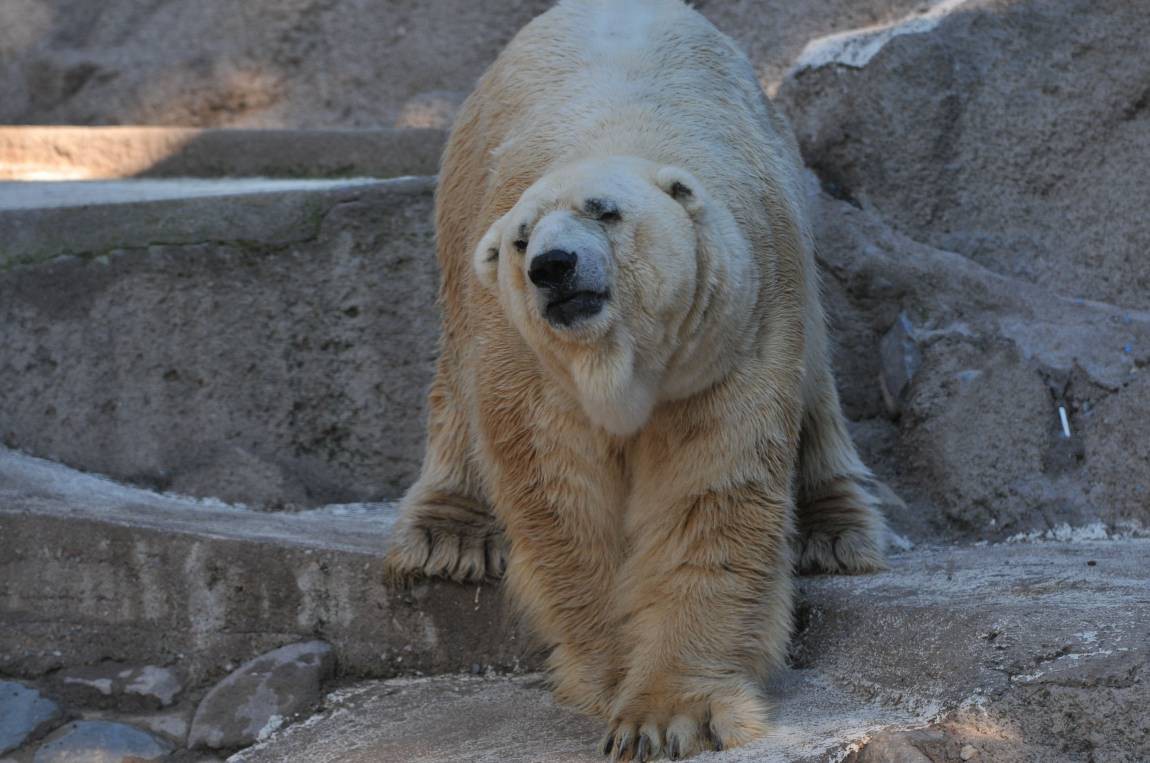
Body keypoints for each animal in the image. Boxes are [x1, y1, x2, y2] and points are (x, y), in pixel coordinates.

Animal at [385, 0, 888, 757]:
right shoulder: (526, 361)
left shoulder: (734, 332)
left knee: (819, 377)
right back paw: (449, 537)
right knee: (452, 377)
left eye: (606, 211)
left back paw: (835, 534)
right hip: (459, 207)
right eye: (522, 239)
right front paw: (615, 674)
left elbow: (708, 493)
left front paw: (671, 713)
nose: (554, 268)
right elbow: (562, 502)